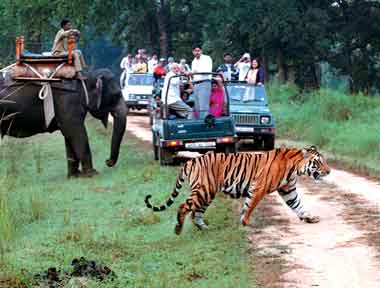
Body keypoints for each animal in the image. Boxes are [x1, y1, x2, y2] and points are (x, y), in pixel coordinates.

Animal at [145, 146, 330, 234]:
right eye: (318, 162)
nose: (329, 171)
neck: (295, 168)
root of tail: (191, 161)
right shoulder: (259, 188)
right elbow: (250, 206)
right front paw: (245, 223)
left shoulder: (288, 190)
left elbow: (297, 205)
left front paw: (309, 217)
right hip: (204, 190)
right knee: (184, 207)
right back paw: (178, 229)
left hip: (207, 193)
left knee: (196, 213)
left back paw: (205, 228)